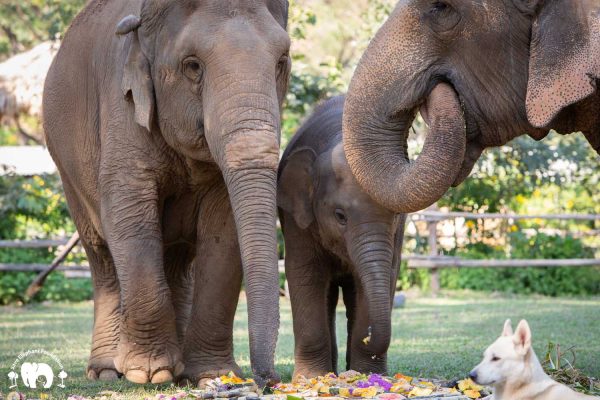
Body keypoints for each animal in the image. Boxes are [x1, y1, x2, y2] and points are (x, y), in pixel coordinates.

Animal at [42, 0, 290, 388]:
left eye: (281, 61)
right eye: (192, 66)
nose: (270, 380)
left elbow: (223, 231)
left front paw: (210, 376)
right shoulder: (122, 110)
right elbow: (128, 216)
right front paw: (149, 373)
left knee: (177, 259)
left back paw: (179, 369)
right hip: (67, 169)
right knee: (102, 256)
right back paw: (108, 370)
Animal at [278, 97, 406, 378]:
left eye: (394, 214)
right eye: (340, 216)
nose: (371, 337)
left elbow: (384, 275)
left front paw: (367, 375)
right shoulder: (296, 220)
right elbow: (304, 274)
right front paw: (310, 378)